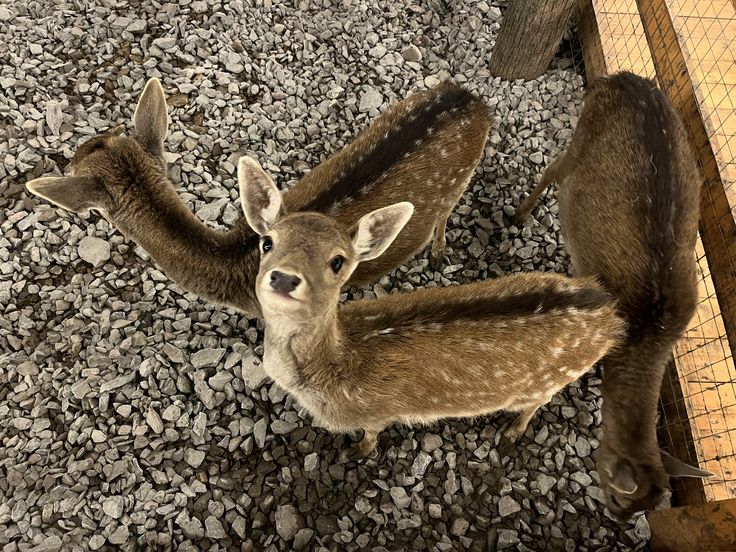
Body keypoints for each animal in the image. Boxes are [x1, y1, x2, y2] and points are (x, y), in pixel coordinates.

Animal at [25, 77, 491, 317]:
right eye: (97, 140)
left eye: (75, 164)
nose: (72, 153)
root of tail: (475, 99)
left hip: (461, 177)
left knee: (446, 211)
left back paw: (438, 251)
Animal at [238, 154, 627, 462]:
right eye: (267, 242)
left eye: (337, 261)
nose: (284, 278)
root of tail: (611, 315)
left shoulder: (376, 414)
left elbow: (371, 437)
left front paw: (356, 453)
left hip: (551, 381)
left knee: (535, 403)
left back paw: (511, 434)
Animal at [516, 71, 711, 519]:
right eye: (619, 495)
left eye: (646, 508)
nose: (619, 520)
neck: (648, 332)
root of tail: (619, 77)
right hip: (580, 138)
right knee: (554, 168)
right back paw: (520, 213)